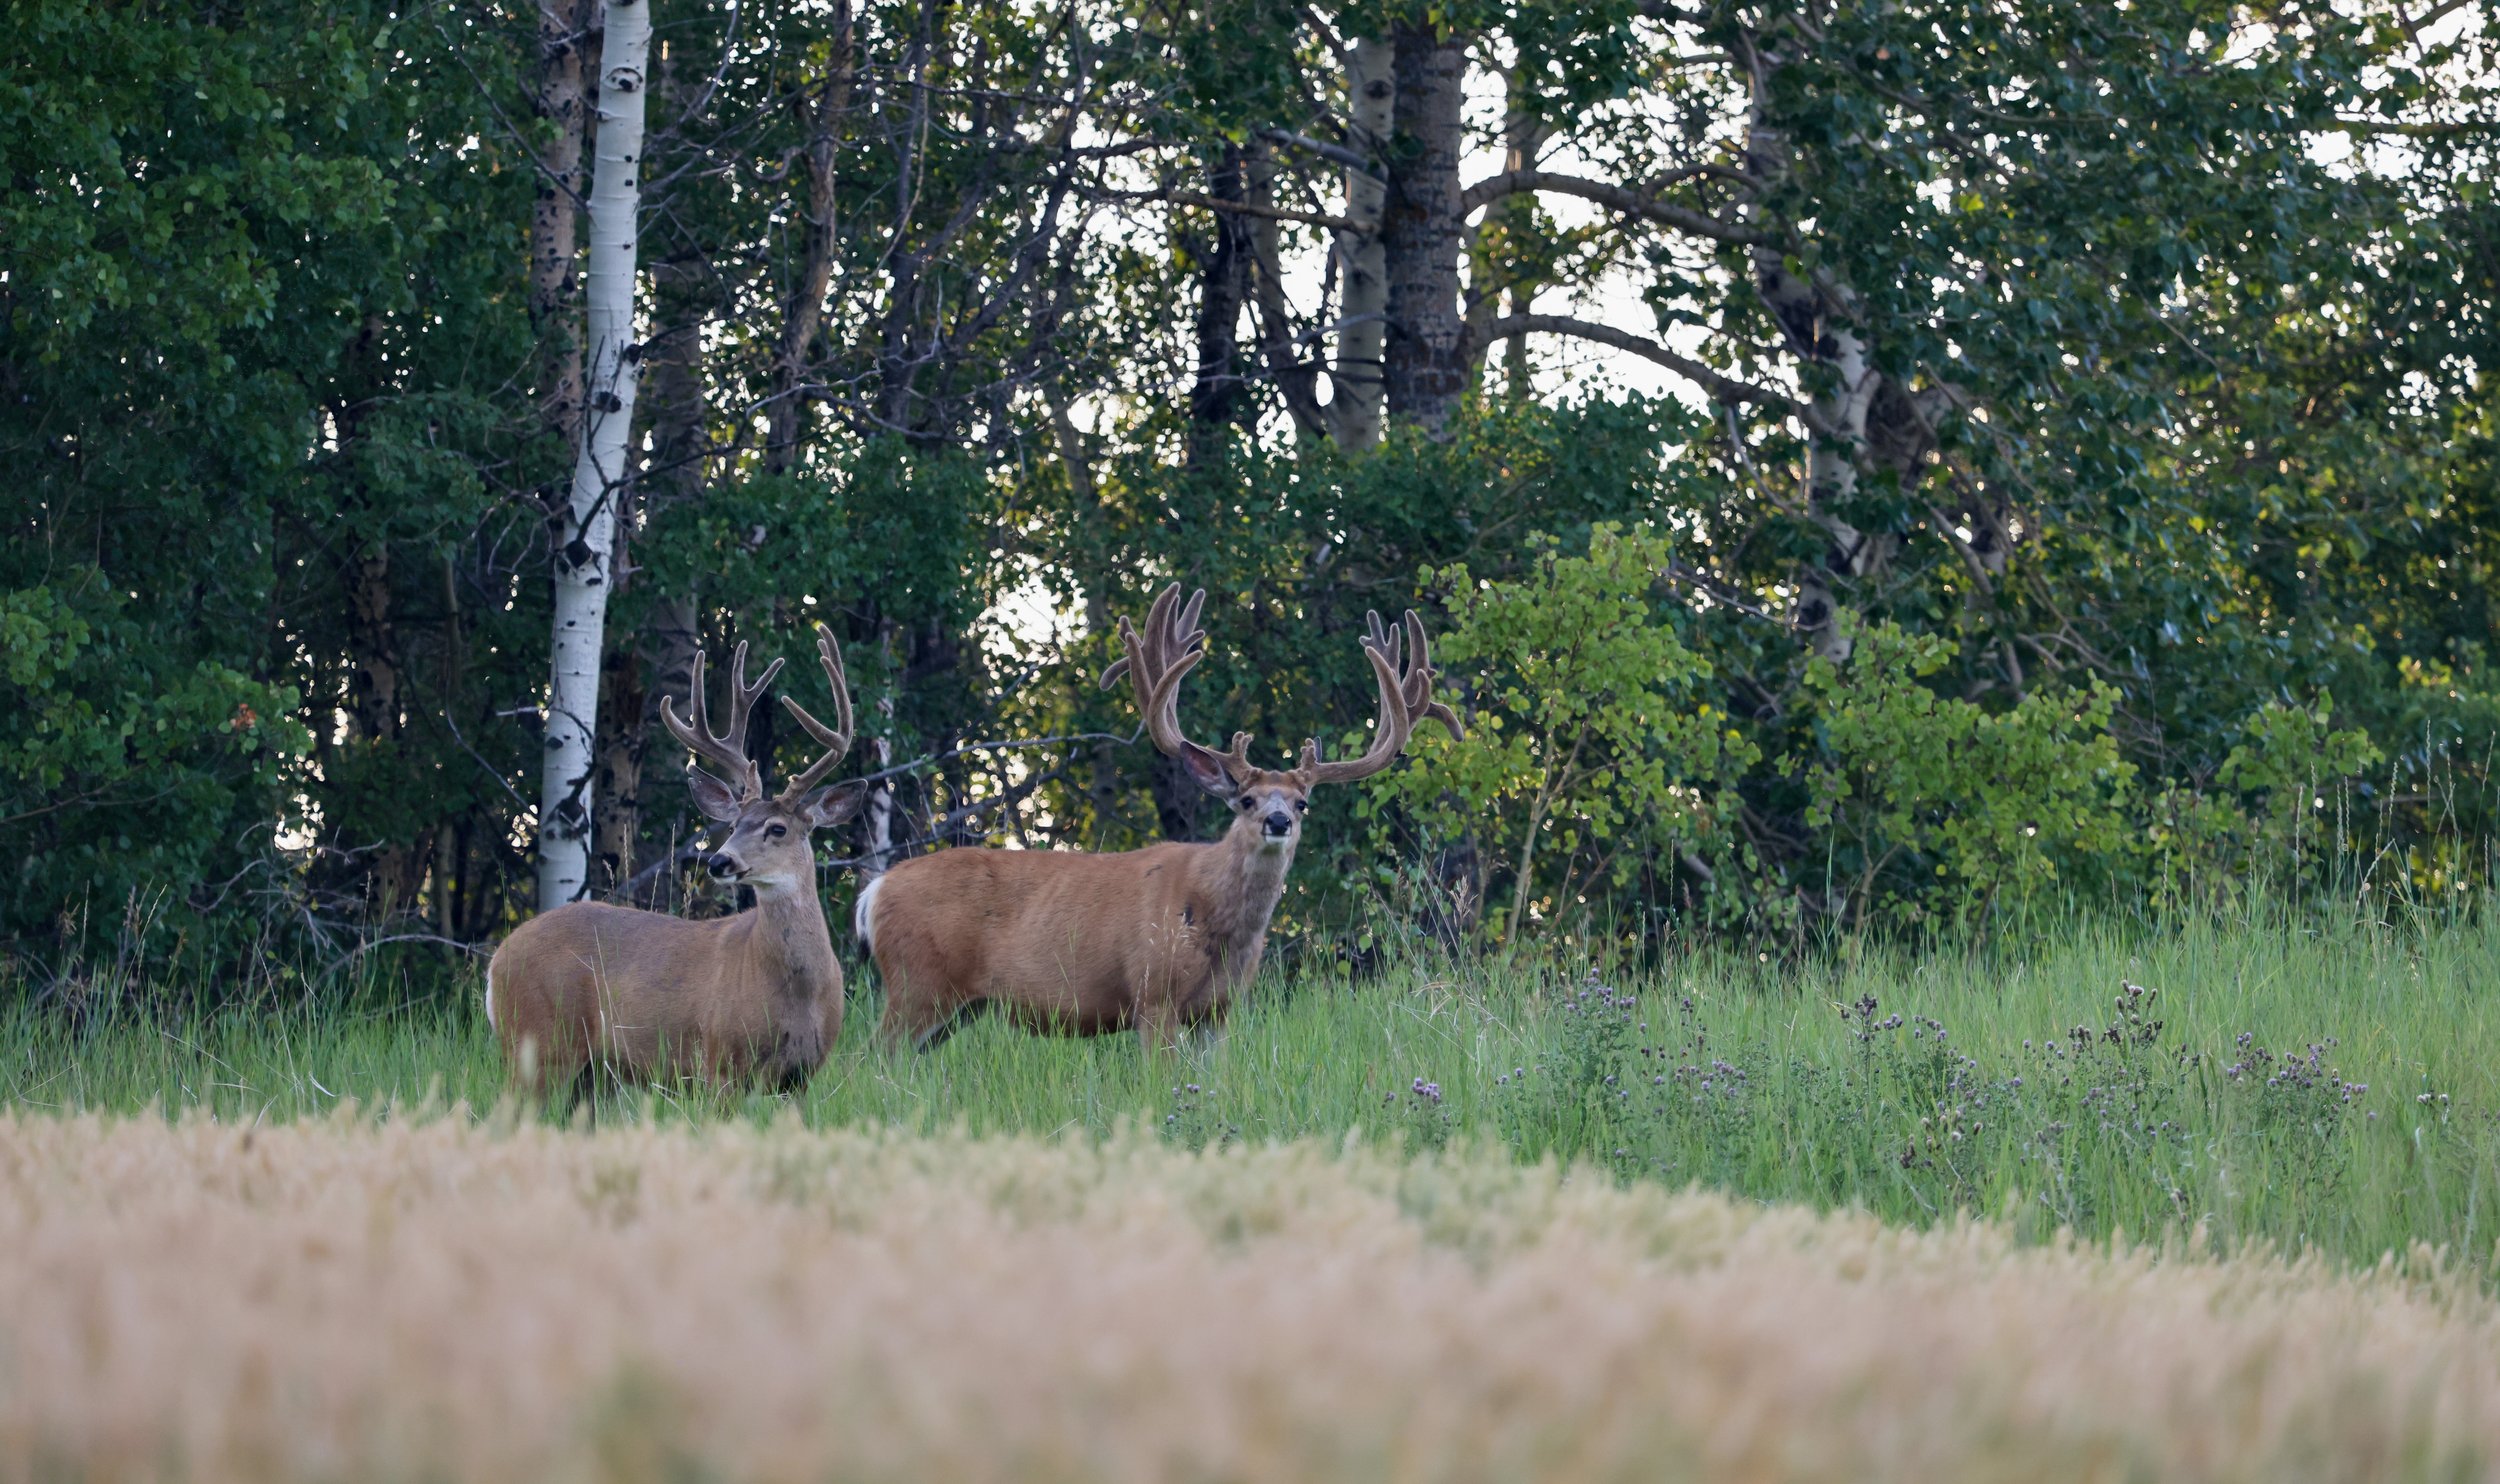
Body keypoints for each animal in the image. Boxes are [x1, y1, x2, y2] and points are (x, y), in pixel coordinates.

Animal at [485, 617, 870, 1094]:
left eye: (777, 829)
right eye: (732, 826)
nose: (719, 861)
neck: (797, 995)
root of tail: (496, 961)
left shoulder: (801, 1075)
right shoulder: (720, 1058)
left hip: (589, 1072)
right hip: (538, 1044)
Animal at [855, 579, 1460, 1049]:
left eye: (1302, 801)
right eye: (1246, 799)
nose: (1278, 822)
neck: (1216, 923)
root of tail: (875, 891)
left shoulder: (1218, 1012)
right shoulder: (1153, 995)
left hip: (954, 1007)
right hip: (916, 982)